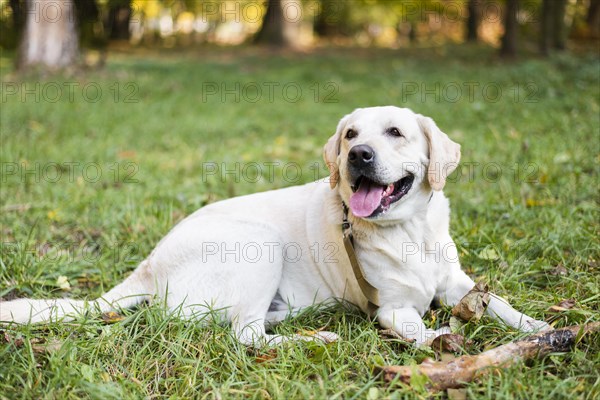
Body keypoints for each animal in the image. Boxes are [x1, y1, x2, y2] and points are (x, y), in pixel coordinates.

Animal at [0, 107, 552, 346]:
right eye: (350, 134)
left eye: (395, 132)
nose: (357, 154)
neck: (408, 231)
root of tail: (147, 267)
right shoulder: (392, 308)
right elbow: (419, 331)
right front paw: (443, 341)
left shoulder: (457, 282)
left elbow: (501, 304)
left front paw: (541, 328)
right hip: (259, 244)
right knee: (245, 337)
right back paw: (314, 339)